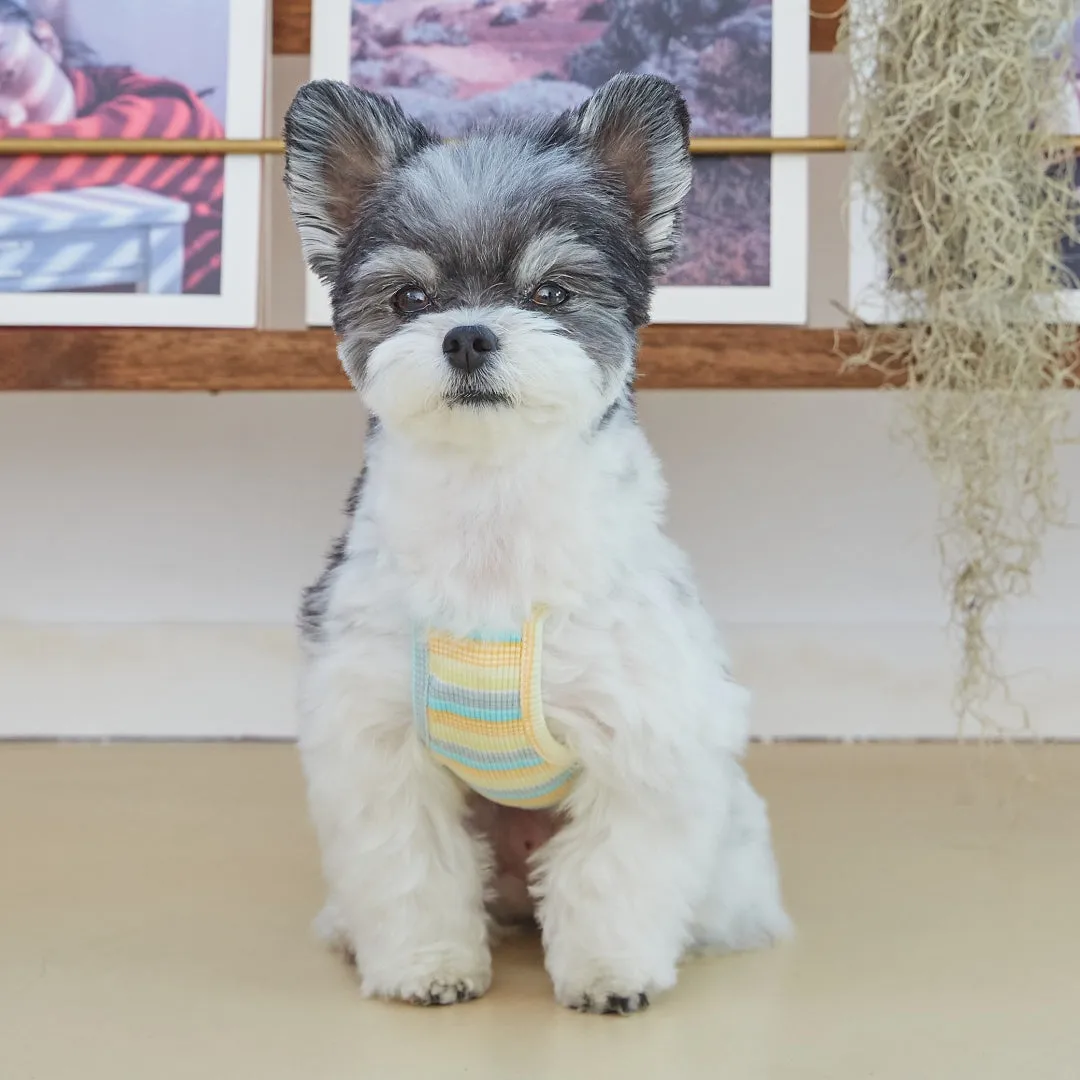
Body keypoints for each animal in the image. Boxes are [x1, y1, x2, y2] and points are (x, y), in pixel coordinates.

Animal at [282, 71, 790, 1015]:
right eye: (411, 300)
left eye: (551, 293)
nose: (468, 333)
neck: (493, 513)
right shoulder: (380, 746)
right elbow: (411, 872)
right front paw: (426, 966)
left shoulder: (643, 742)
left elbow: (613, 875)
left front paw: (610, 972)